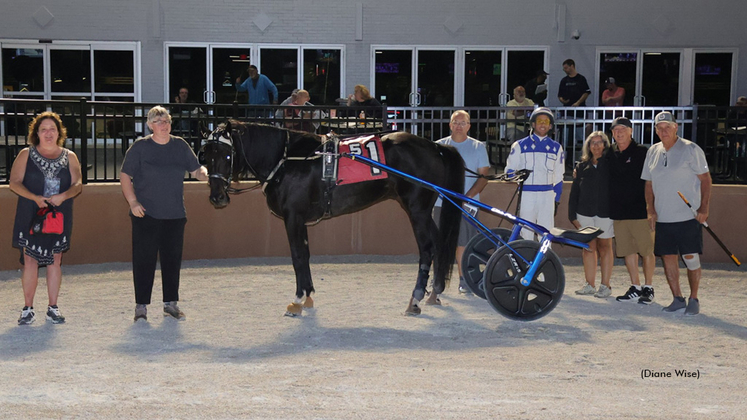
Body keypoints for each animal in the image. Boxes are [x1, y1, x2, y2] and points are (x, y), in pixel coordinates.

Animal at [202, 120, 464, 316]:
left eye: (227, 155)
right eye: (206, 155)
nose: (217, 197)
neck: (288, 159)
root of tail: (435, 147)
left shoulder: (293, 217)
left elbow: (297, 256)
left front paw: (297, 299)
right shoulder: (300, 219)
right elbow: (306, 254)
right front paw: (308, 295)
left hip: (417, 210)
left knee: (427, 249)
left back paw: (416, 298)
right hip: (424, 212)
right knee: (440, 244)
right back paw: (435, 291)